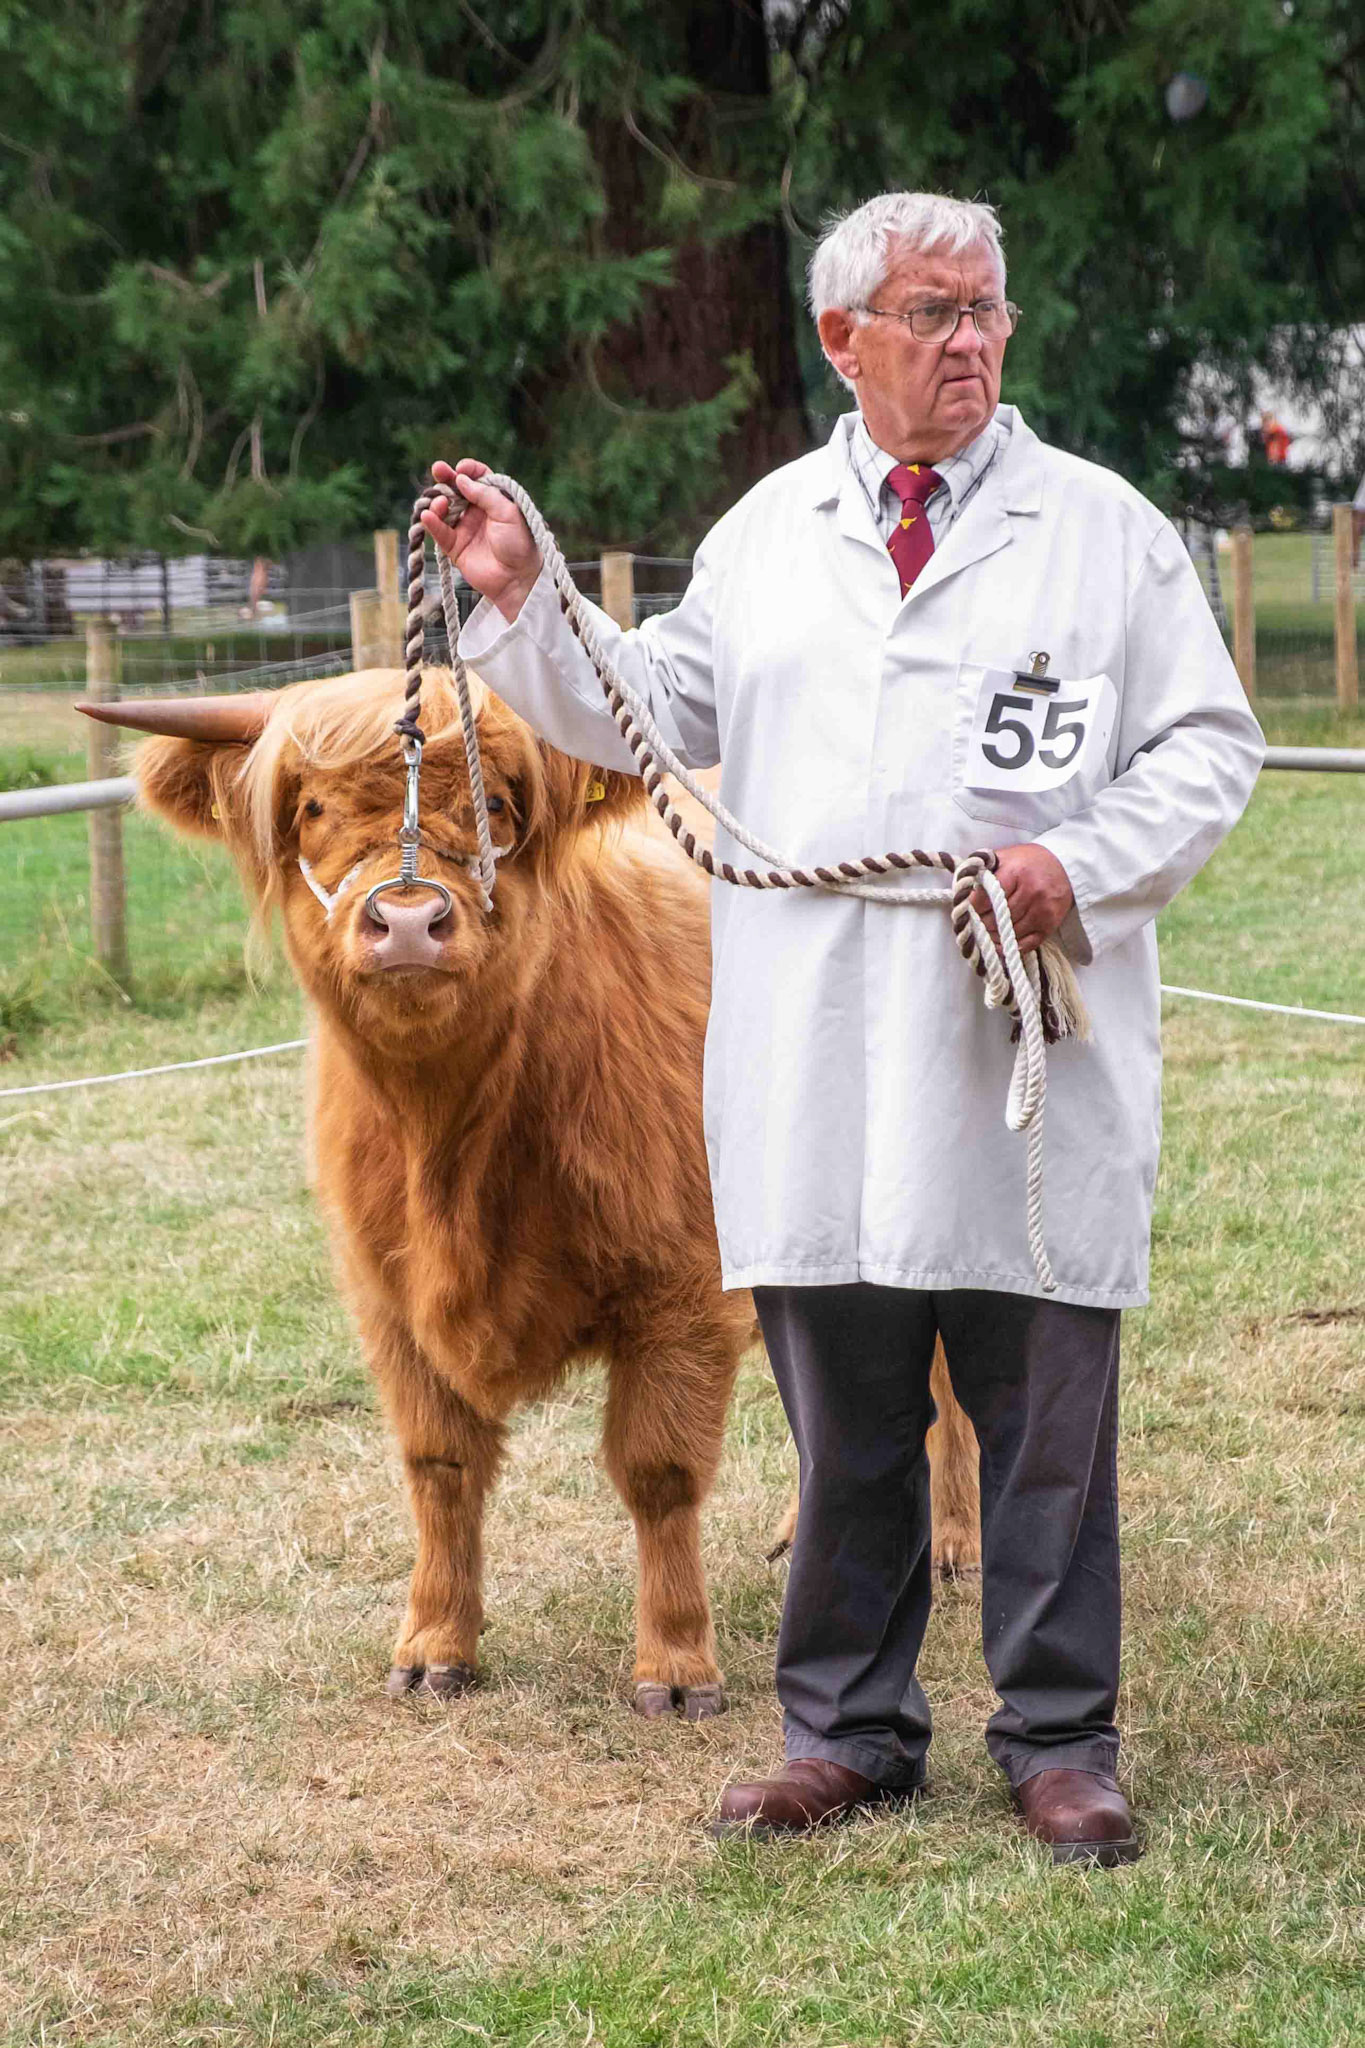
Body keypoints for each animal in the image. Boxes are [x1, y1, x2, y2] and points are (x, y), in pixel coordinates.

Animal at [82, 668, 980, 1718]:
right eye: (312, 808)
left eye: (500, 808)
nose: (408, 920)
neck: (455, 1141)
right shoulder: (387, 1302)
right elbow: (439, 1466)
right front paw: (435, 1645)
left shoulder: (679, 1288)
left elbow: (660, 1471)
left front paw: (676, 1665)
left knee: (941, 1380)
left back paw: (954, 1540)